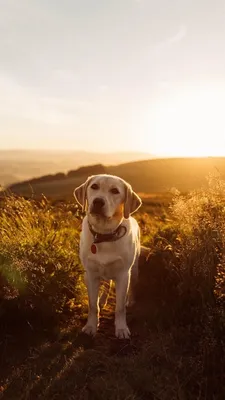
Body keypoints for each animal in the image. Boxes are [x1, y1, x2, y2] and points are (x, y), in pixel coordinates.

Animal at [74, 173, 142, 340]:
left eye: (115, 191)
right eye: (94, 186)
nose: (98, 202)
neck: (104, 234)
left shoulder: (123, 274)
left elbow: (119, 307)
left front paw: (122, 328)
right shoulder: (91, 274)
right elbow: (92, 305)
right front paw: (91, 327)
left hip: (134, 270)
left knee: (132, 286)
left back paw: (130, 301)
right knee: (106, 284)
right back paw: (103, 300)